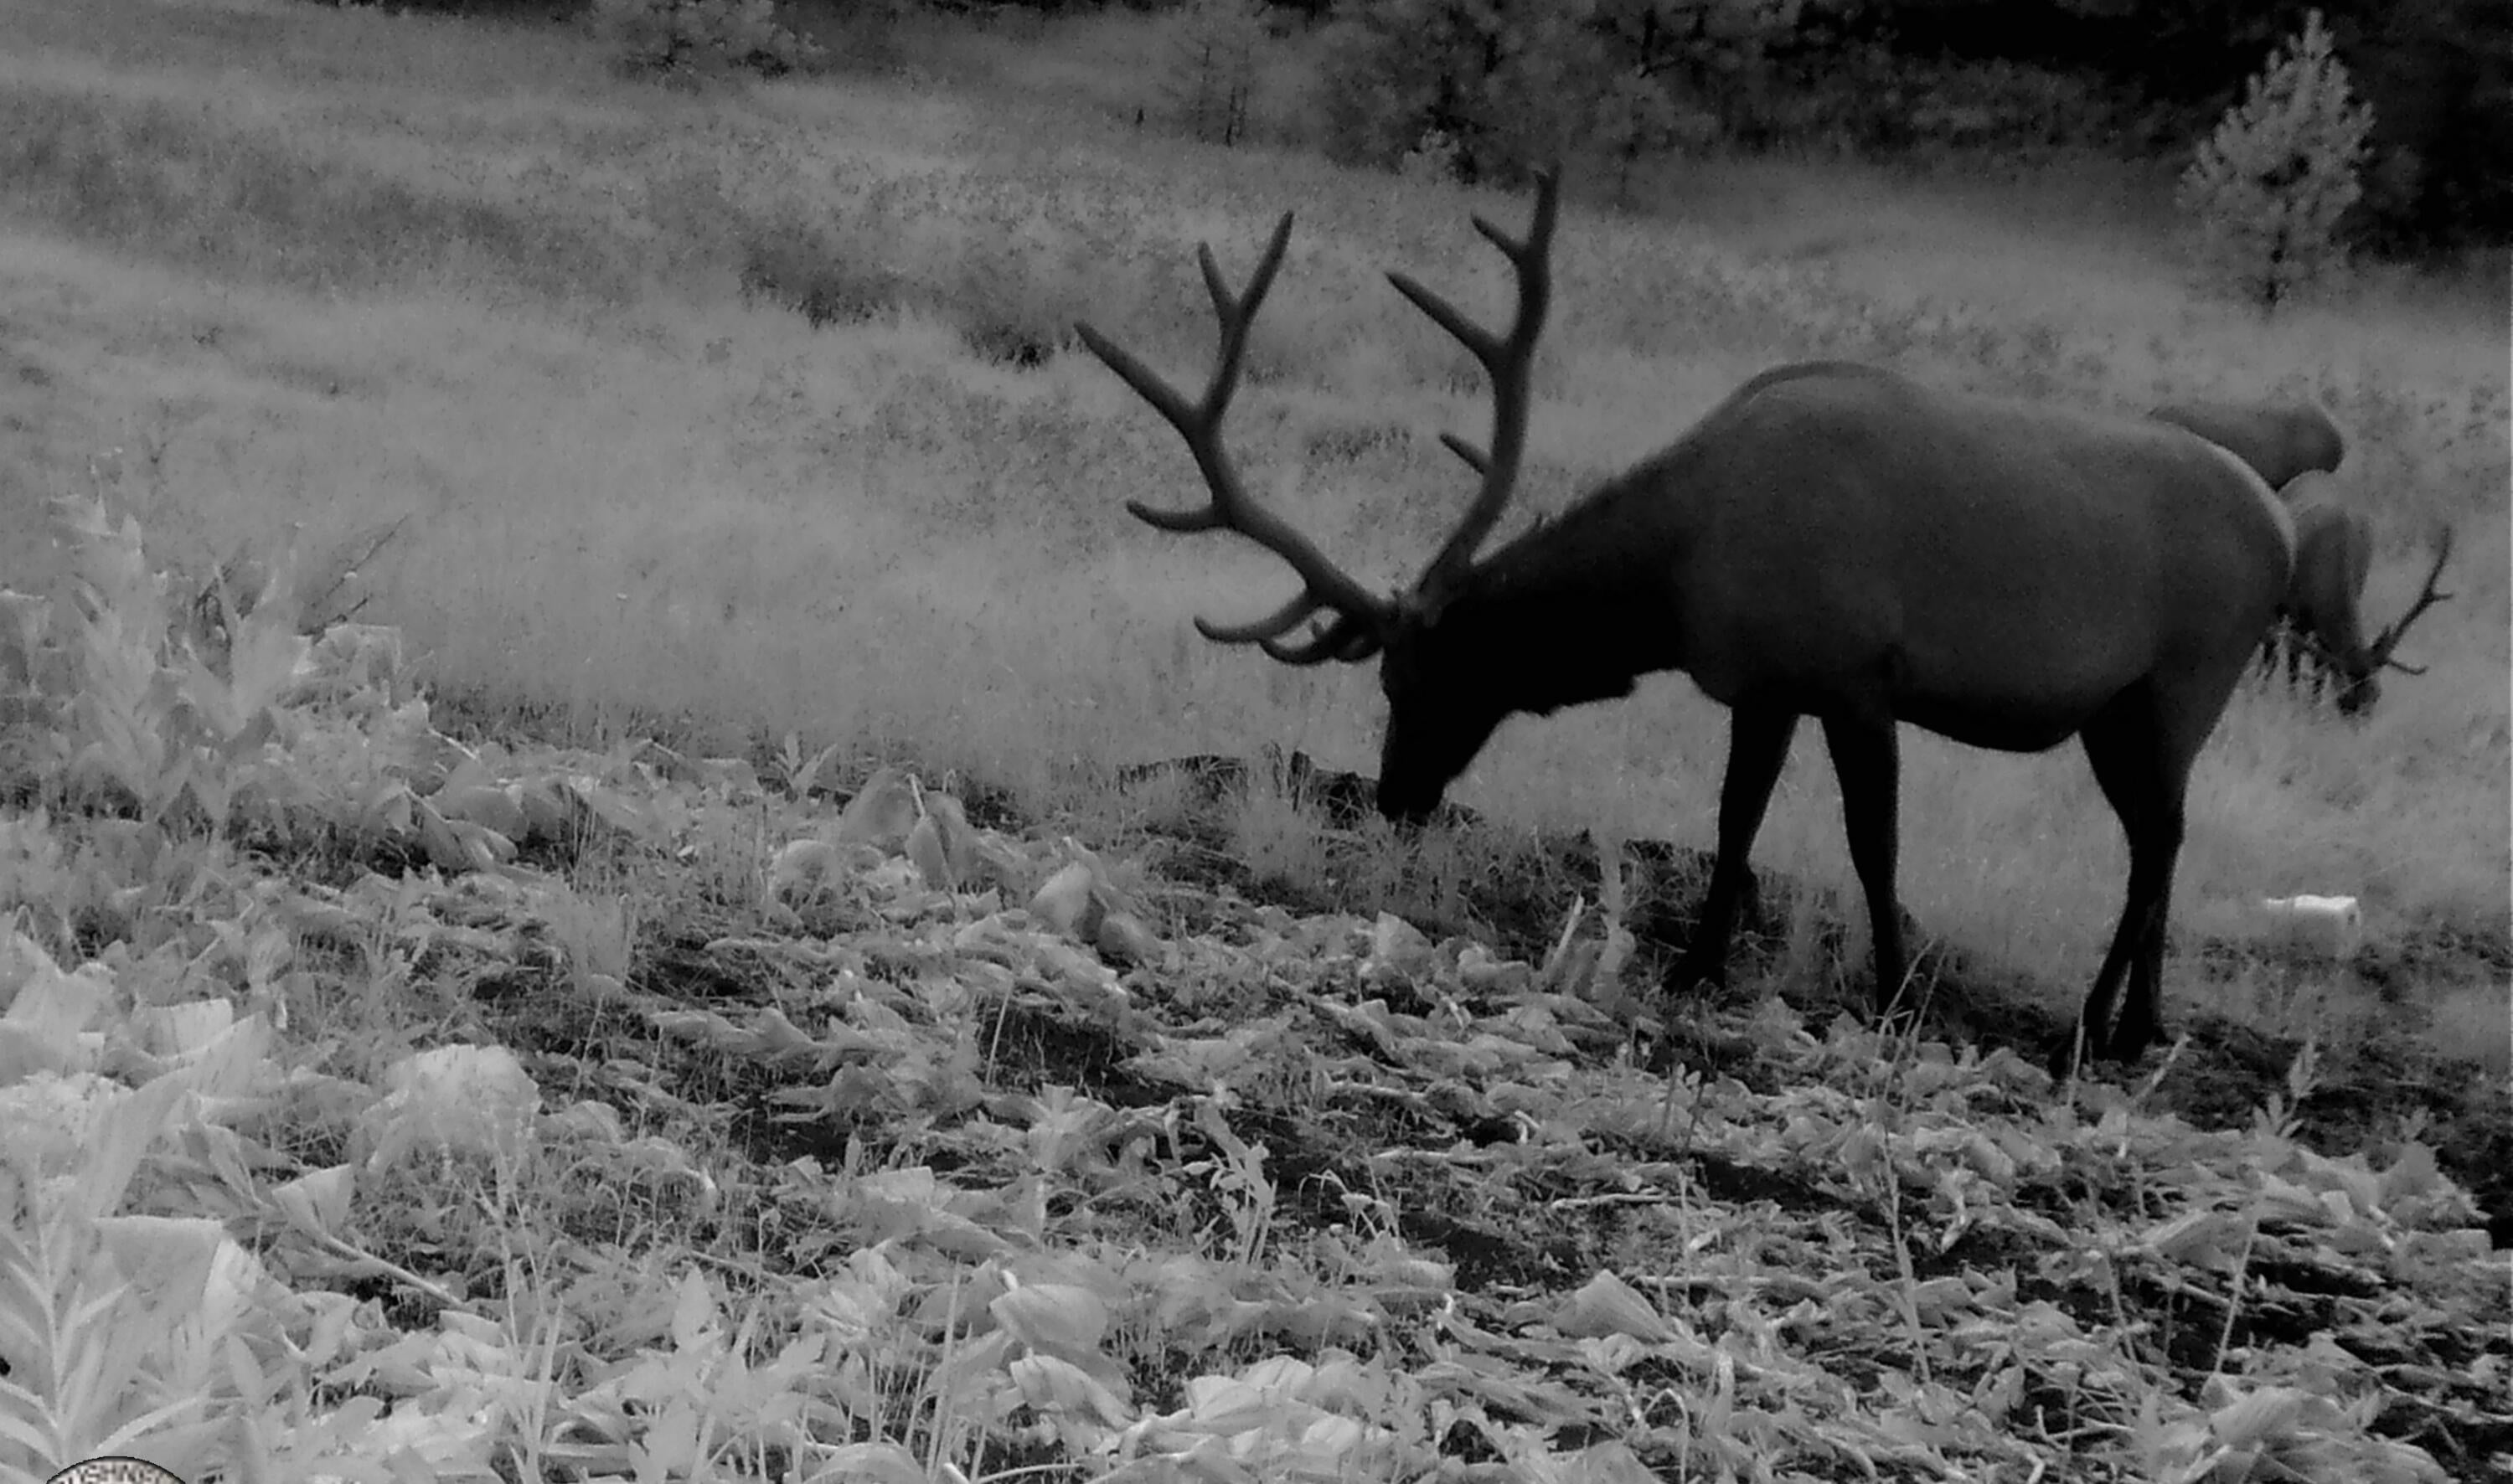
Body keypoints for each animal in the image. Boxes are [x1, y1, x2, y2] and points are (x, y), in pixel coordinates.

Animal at [1075, 173, 2316, 1067]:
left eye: (1412, 679)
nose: (1393, 797)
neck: (1680, 579)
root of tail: (2285, 533)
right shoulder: (1763, 683)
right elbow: (1735, 821)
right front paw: (1697, 964)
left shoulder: (1858, 674)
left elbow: (1873, 842)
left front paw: (1893, 988)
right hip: (2132, 710)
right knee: (2162, 843)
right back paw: (2136, 1023)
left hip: (2178, 683)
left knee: (2157, 843)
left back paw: (2103, 1022)